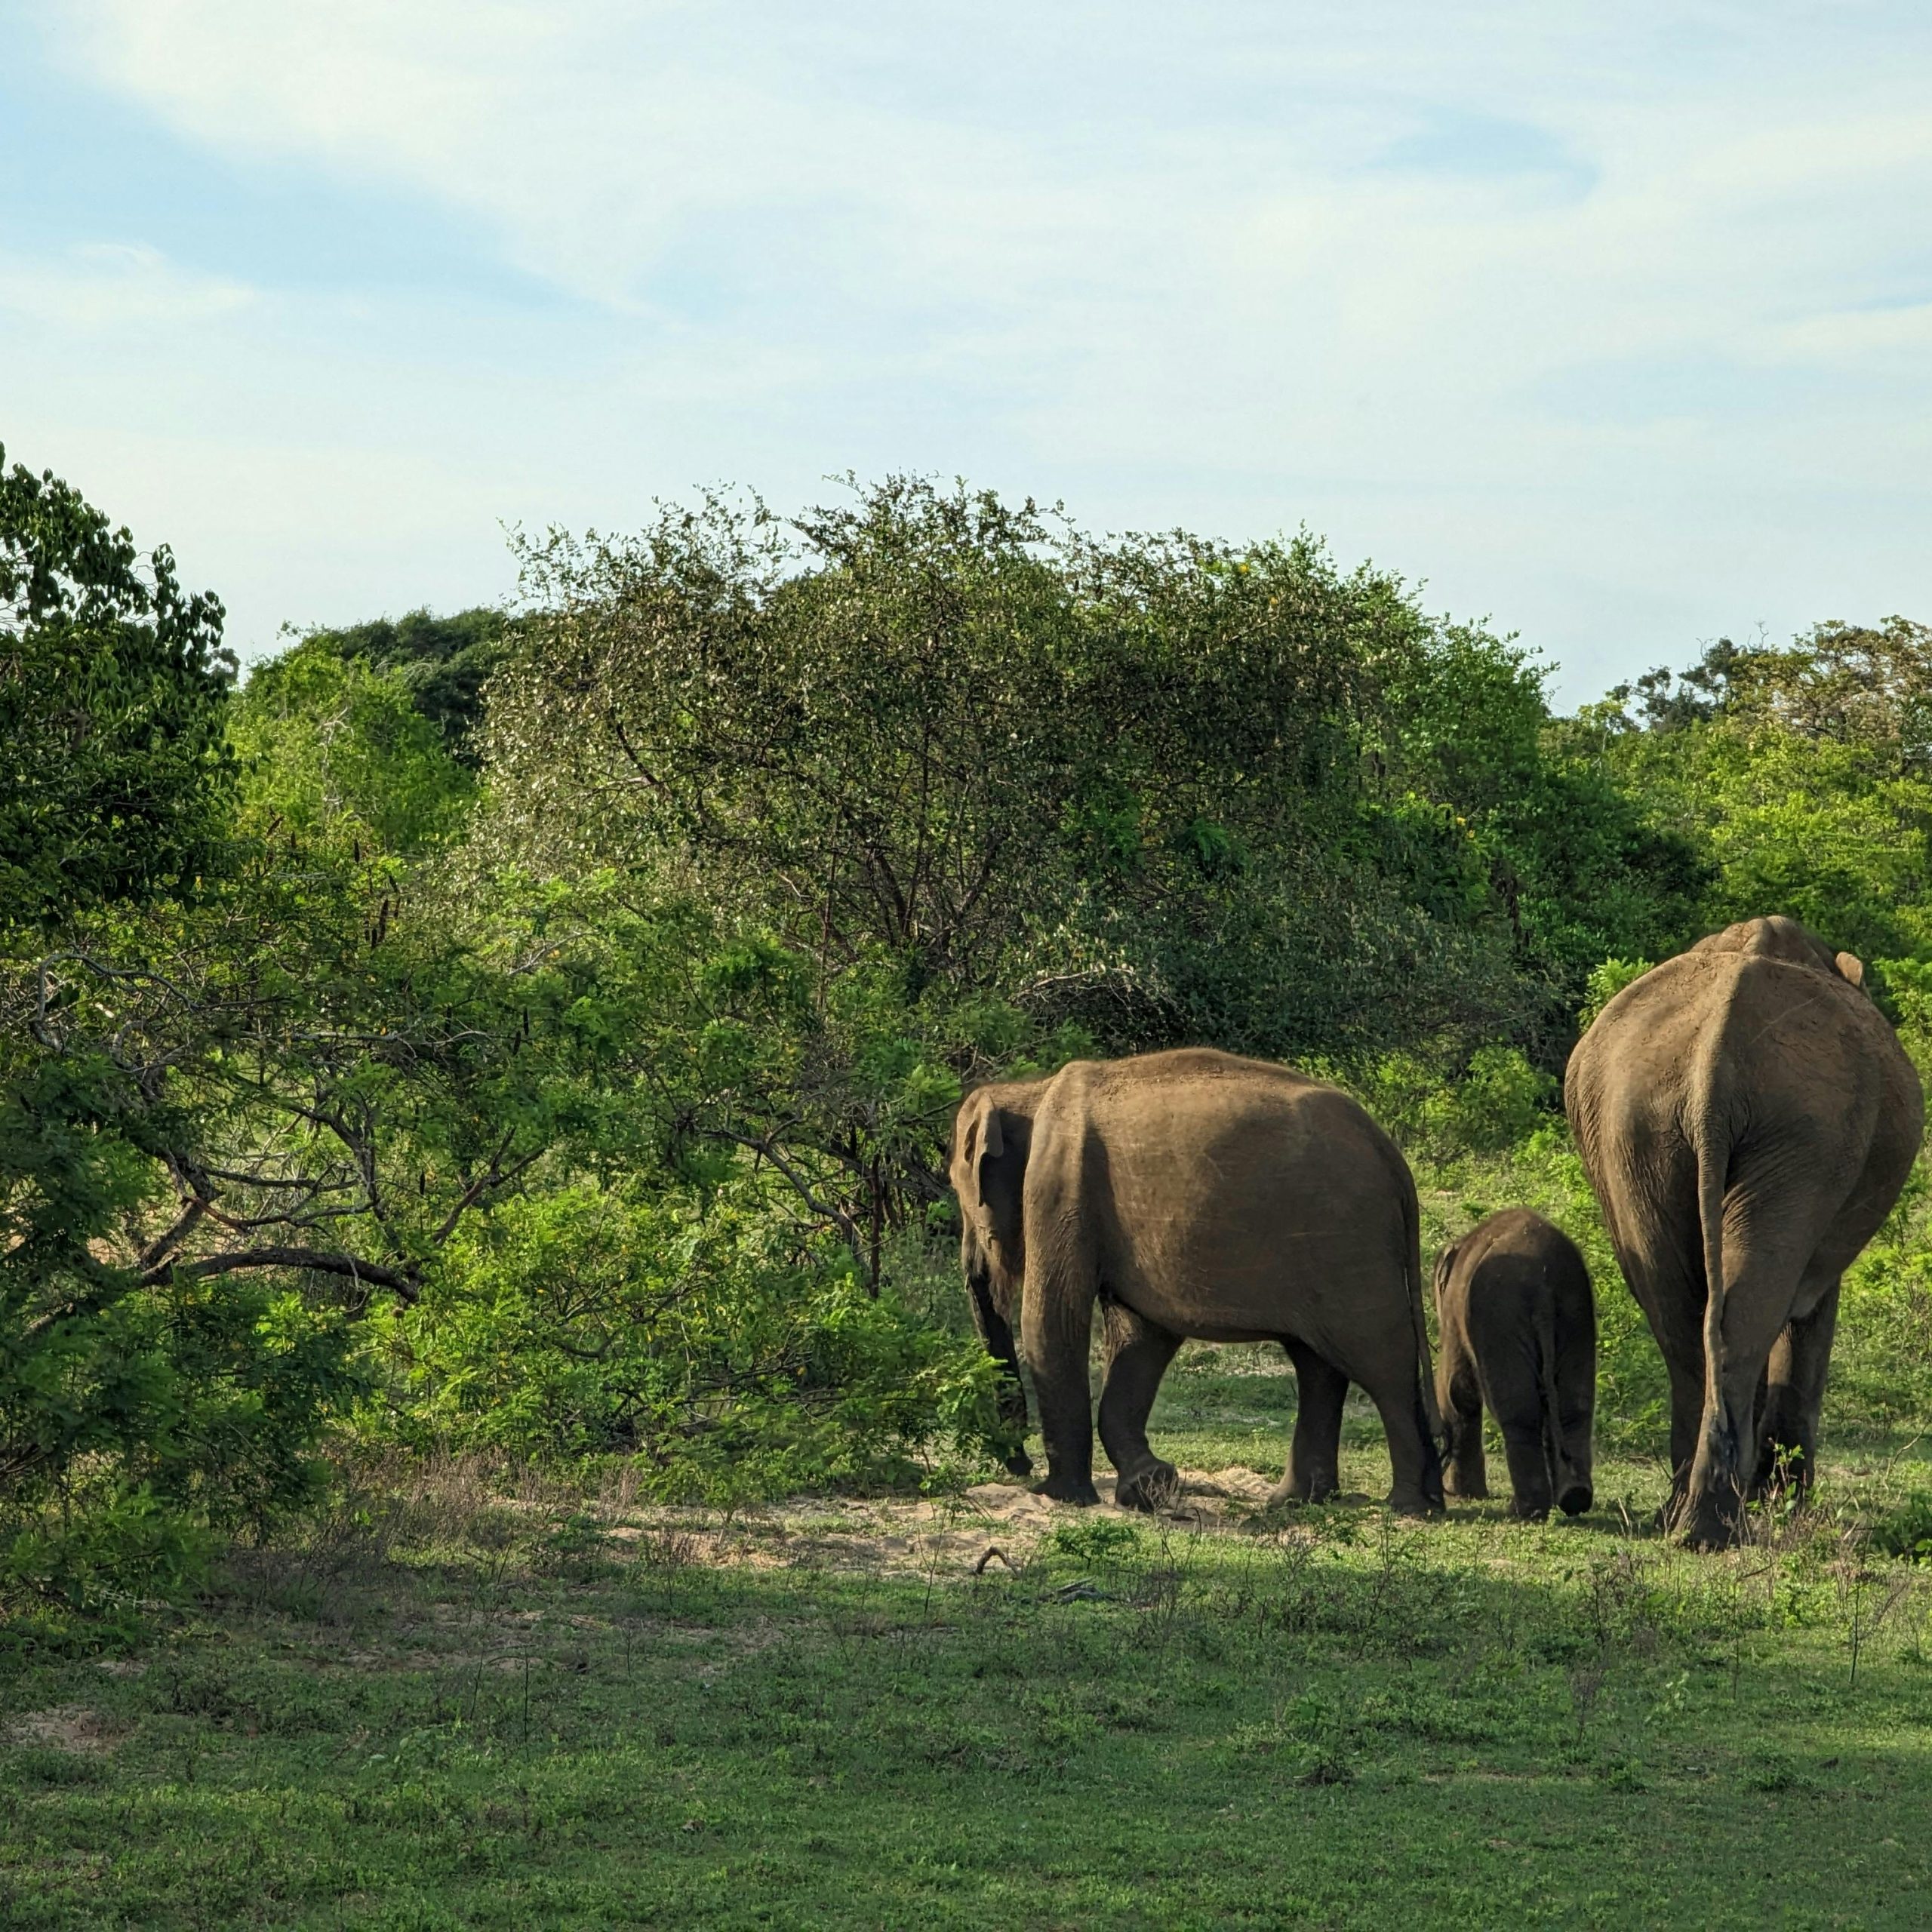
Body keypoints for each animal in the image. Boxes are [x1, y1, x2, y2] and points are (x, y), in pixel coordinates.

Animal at [943, 1051, 1444, 1515]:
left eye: (963, 1197)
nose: (1020, 1465)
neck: (1031, 1090)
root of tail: (1393, 1159)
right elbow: (1142, 1337)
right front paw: (1148, 1486)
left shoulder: (1059, 1189)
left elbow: (1053, 1321)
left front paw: (1064, 1497)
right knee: (1317, 1363)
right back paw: (1299, 1502)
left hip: (1350, 1246)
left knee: (1380, 1360)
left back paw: (1407, 1506)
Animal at [1437, 1213, 1599, 1515]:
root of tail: (1543, 1285)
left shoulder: (1455, 1311)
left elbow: (1457, 1391)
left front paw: (1463, 1494)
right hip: (1576, 1316)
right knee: (1574, 1407)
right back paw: (1574, 1497)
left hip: (1501, 1319)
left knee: (1518, 1411)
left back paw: (1525, 1511)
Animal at [1568, 919, 1916, 1553]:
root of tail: (1715, 1061)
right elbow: (1810, 1310)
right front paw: (1786, 1502)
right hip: (1807, 1136)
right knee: (1748, 1310)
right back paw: (1717, 1525)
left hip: (1637, 1132)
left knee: (1686, 1317)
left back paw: (1684, 1521)